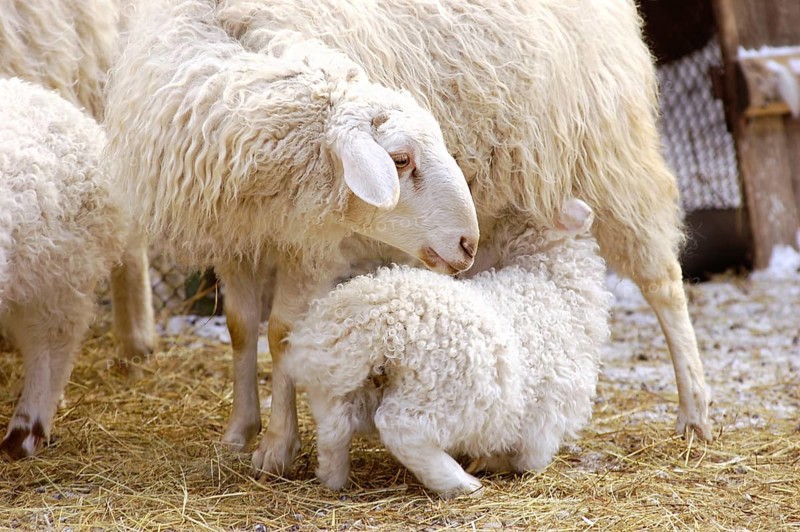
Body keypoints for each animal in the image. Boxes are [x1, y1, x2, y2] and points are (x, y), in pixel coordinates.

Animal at [103, 0, 481, 460]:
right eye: (401, 160)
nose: (467, 242)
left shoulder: (309, 243)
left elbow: (283, 332)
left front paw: (278, 445)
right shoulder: (235, 235)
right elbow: (241, 325)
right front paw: (239, 431)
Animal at [283, 198, 611, 498]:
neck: (547, 278)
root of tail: (384, 319)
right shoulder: (549, 411)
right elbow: (532, 457)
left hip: (345, 387)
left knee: (334, 429)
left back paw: (333, 478)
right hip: (446, 397)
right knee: (400, 428)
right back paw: (461, 483)